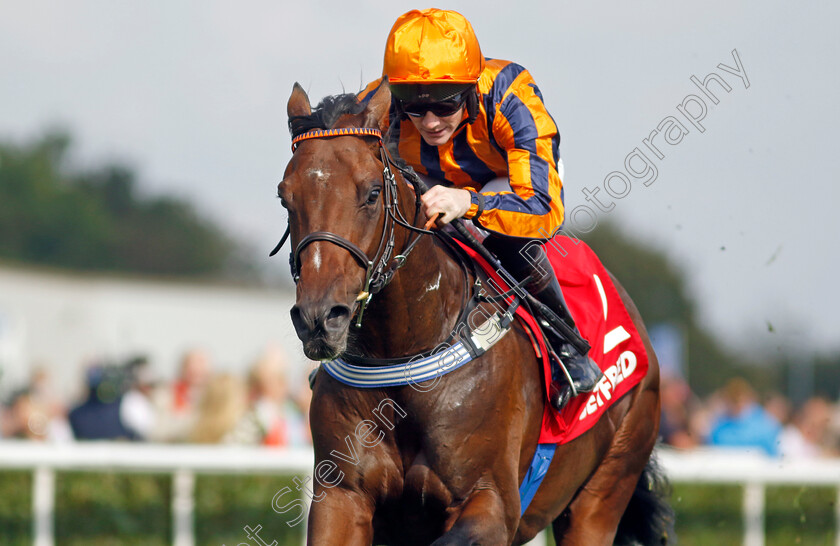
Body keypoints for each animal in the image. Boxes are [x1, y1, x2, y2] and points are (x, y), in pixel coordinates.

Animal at [278, 82, 672, 544]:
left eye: (372, 192)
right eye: (285, 197)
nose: (320, 318)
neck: (404, 358)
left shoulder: (492, 504)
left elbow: (535, 202)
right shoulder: (342, 496)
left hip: (604, 489)